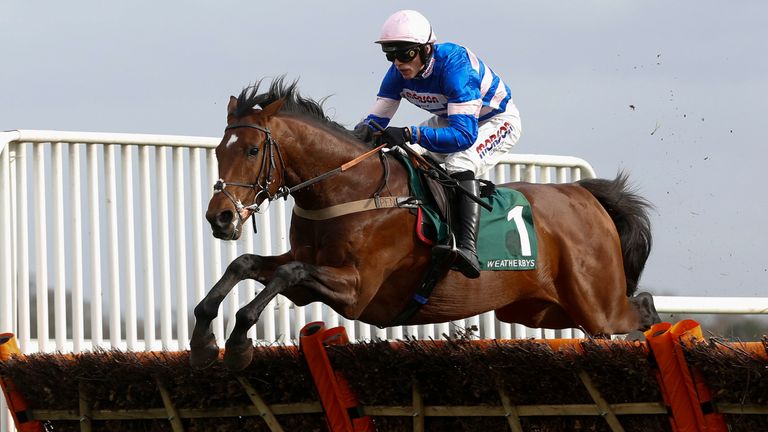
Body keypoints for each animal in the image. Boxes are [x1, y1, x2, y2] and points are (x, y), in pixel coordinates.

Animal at [188, 77, 660, 372]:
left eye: (252, 150)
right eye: (220, 150)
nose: (220, 217)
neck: (350, 189)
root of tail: (583, 194)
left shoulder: (356, 290)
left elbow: (286, 272)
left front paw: (238, 344)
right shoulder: (311, 283)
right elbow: (247, 264)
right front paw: (204, 340)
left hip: (597, 305)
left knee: (640, 308)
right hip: (538, 310)